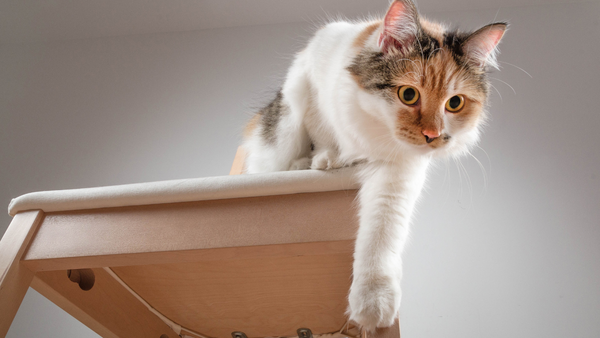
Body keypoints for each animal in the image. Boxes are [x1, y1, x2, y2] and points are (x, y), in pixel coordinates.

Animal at [239, 0, 506, 328]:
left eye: (454, 103)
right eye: (408, 94)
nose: (432, 136)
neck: (372, 131)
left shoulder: (398, 170)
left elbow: (381, 232)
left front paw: (373, 302)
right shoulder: (314, 80)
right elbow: (323, 129)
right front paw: (328, 157)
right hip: (285, 124)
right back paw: (305, 163)